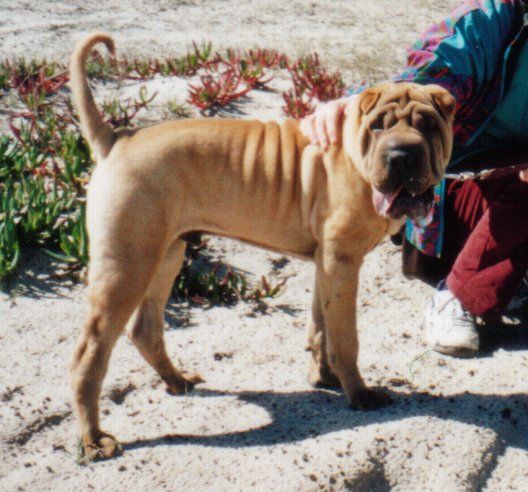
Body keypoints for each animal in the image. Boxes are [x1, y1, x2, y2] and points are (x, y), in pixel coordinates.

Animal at [70, 32, 456, 460]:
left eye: (428, 126)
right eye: (377, 127)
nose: (402, 155)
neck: (354, 155)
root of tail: (116, 140)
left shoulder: (327, 263)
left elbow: (320, 326)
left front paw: (324, 376)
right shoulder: (342, 261)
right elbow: (345, 337)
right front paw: (359, 393)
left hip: (164, 255)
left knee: (145, 328)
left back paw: (177, 380)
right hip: (126, 266)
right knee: (90, 355)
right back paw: (93, 438)